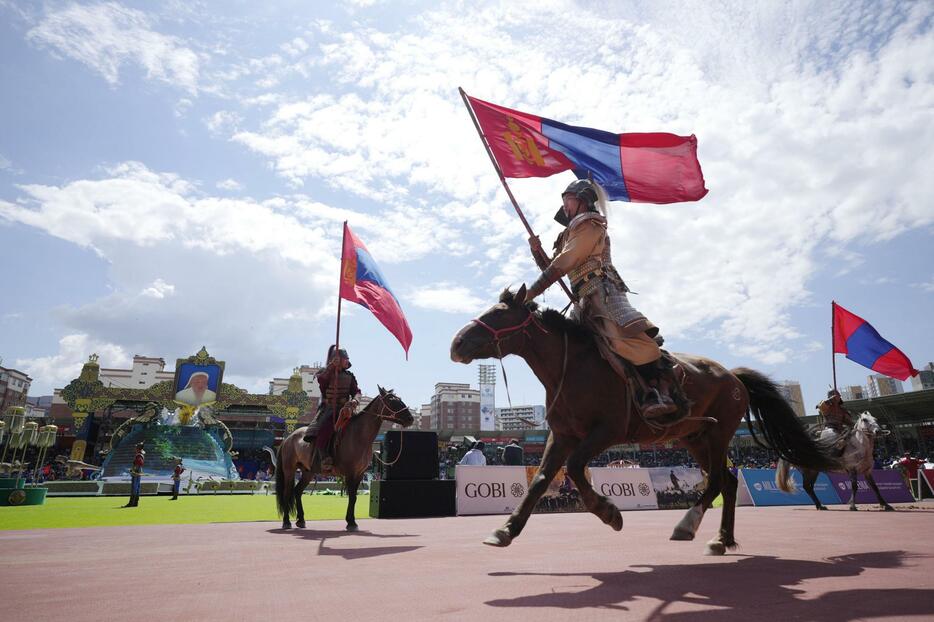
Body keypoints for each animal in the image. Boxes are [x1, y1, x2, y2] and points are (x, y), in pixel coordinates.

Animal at [272, 390, 414, 532]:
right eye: (392, 401)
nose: (410, 418)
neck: (358, 435)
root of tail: (288, 438)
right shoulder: (350, 473)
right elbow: (351, 496)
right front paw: (351, 523)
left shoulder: (359, 474)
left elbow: (354, 497)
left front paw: (352, 521)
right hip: (289, 470)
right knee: (287, 493)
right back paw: (286, 522)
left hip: (308, 472)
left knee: (297, 491)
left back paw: (301, 520)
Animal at [450, 288, 844, 556]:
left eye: (498, 314)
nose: (456, 343)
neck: (573, 367)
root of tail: (734, 377)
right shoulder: (561, 436)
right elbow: (541, 481)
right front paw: (506, 529)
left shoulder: (606, 432)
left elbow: (576, 469)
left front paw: (609, 512)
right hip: (694, 439)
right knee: (729, 482)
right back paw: (722, 539)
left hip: (719, 433)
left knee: (719, 480)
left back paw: (688, 525)